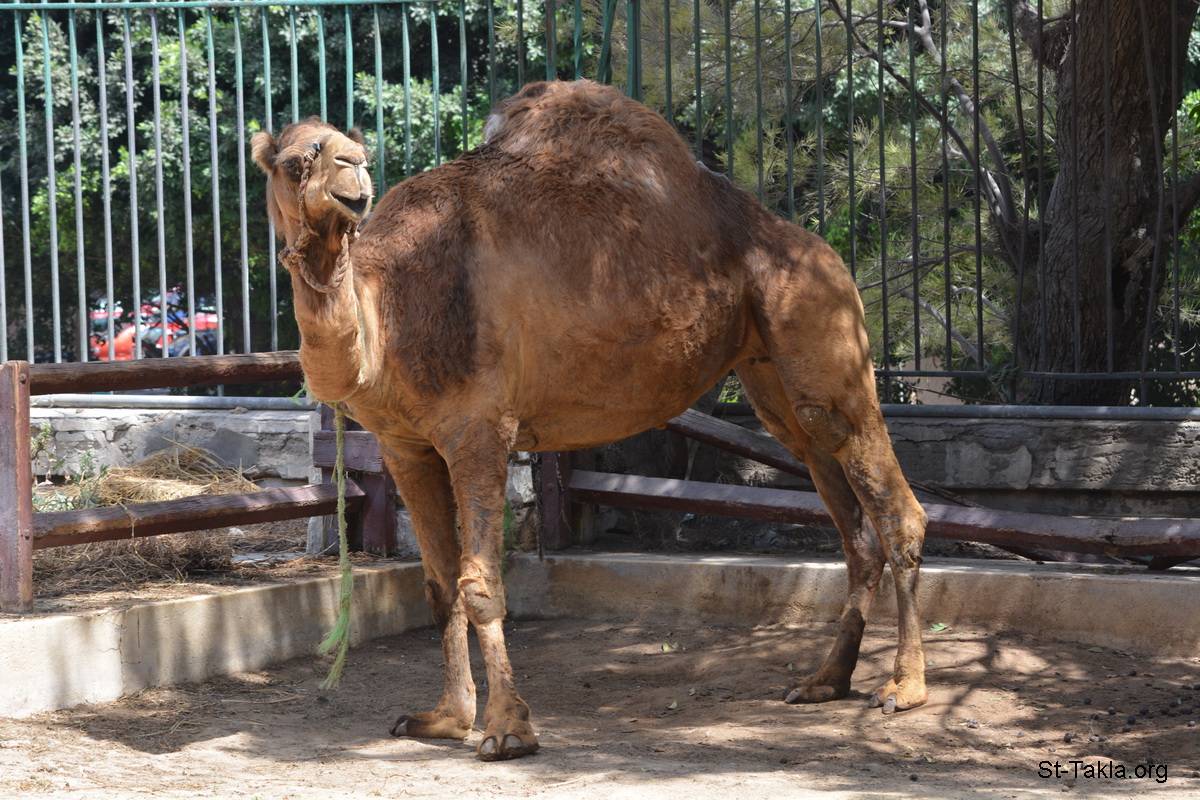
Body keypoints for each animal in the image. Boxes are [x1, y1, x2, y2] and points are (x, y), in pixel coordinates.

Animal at [251, 79, 928, 762]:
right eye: (293, 160)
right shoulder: (404, 444)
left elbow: (480, 585)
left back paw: (905, 688)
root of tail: (819, 248)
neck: (387, 311)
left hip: (822, 327)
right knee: (844, 509)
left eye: (350, 148)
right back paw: (825, 681)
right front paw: (443, 718)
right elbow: (440, 585)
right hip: (774, 377)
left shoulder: (479, 429)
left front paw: (507, 729)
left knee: (895, 508)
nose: (353, 172)